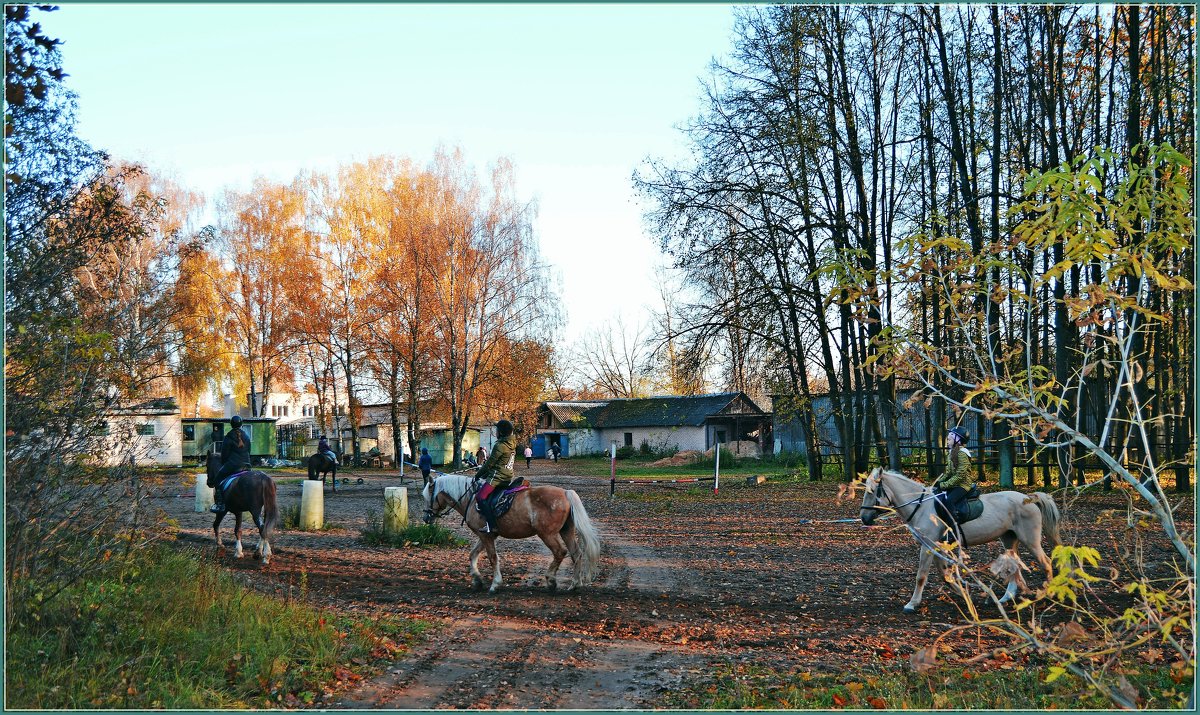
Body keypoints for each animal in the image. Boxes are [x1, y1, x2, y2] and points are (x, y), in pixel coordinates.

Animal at [424, 475, 609, 592]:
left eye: (428, 497)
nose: (426, 517)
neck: (470, 498)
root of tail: (565, 493)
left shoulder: (486, 536)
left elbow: (492, 558)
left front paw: (495, 584)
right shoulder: (485, 535)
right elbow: (473, 555)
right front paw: (477, 580)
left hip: (547, 534)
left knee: (560, 552)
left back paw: (551, 580)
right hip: (566, 531)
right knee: (576, 553)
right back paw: (575, 584)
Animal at [859, 465, 1065, 611]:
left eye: (872, 492)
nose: (864, 518)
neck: (921, 506)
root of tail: (1028, 498)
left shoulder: (928, 546)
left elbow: (921, 575)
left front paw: (912, 603)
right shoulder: (937, 547)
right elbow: (944, 575)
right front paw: (964, 592)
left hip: (1030, 540)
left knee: (1046, 562)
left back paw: (1045, 594)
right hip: (1008, 539)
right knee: (1014, 565)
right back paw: (1005, 598)